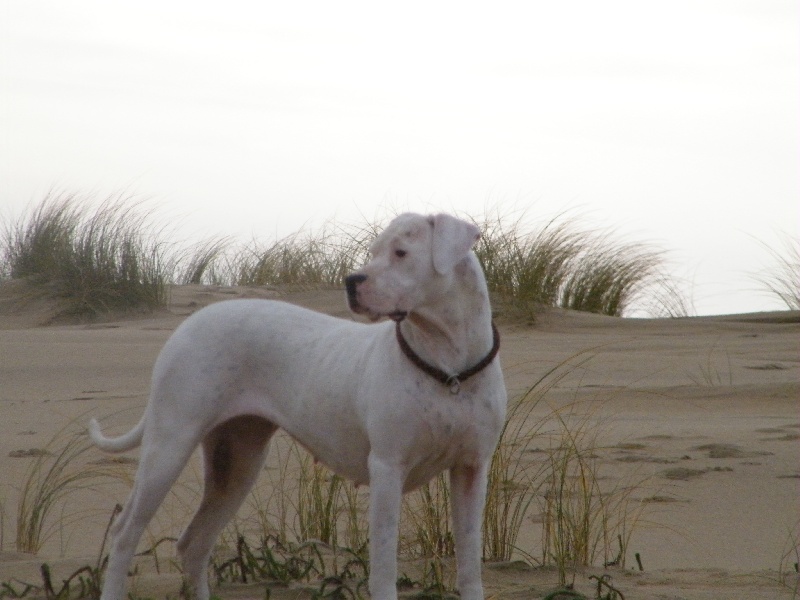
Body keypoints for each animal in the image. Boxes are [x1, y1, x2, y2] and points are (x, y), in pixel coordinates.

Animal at [89, 213, 506, 600]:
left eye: (401, 252)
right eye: (373, 252)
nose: (351, 281)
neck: (448, 367)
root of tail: (189, 323)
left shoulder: (471, 469)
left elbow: (469, 561)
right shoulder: (388, 469)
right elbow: (384, 569)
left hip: (237, 462)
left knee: (195, 543)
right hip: (169, 446)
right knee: (125, 534)